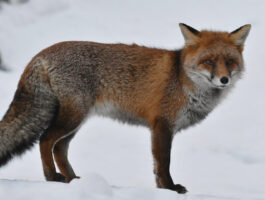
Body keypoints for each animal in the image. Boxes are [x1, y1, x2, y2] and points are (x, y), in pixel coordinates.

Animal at [0, 23, 249, 194]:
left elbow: (157, 167)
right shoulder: (162, 123)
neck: (182, 78)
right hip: (73, 117)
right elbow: (163, 163)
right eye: (209, 61)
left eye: (229, 61)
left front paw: (161, 190)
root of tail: (40, 55)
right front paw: (170, 189)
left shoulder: (160, 127)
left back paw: (74, 180)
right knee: (45, 140)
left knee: (59, 148)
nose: (224, 79)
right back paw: (52, 177)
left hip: (76, 120)